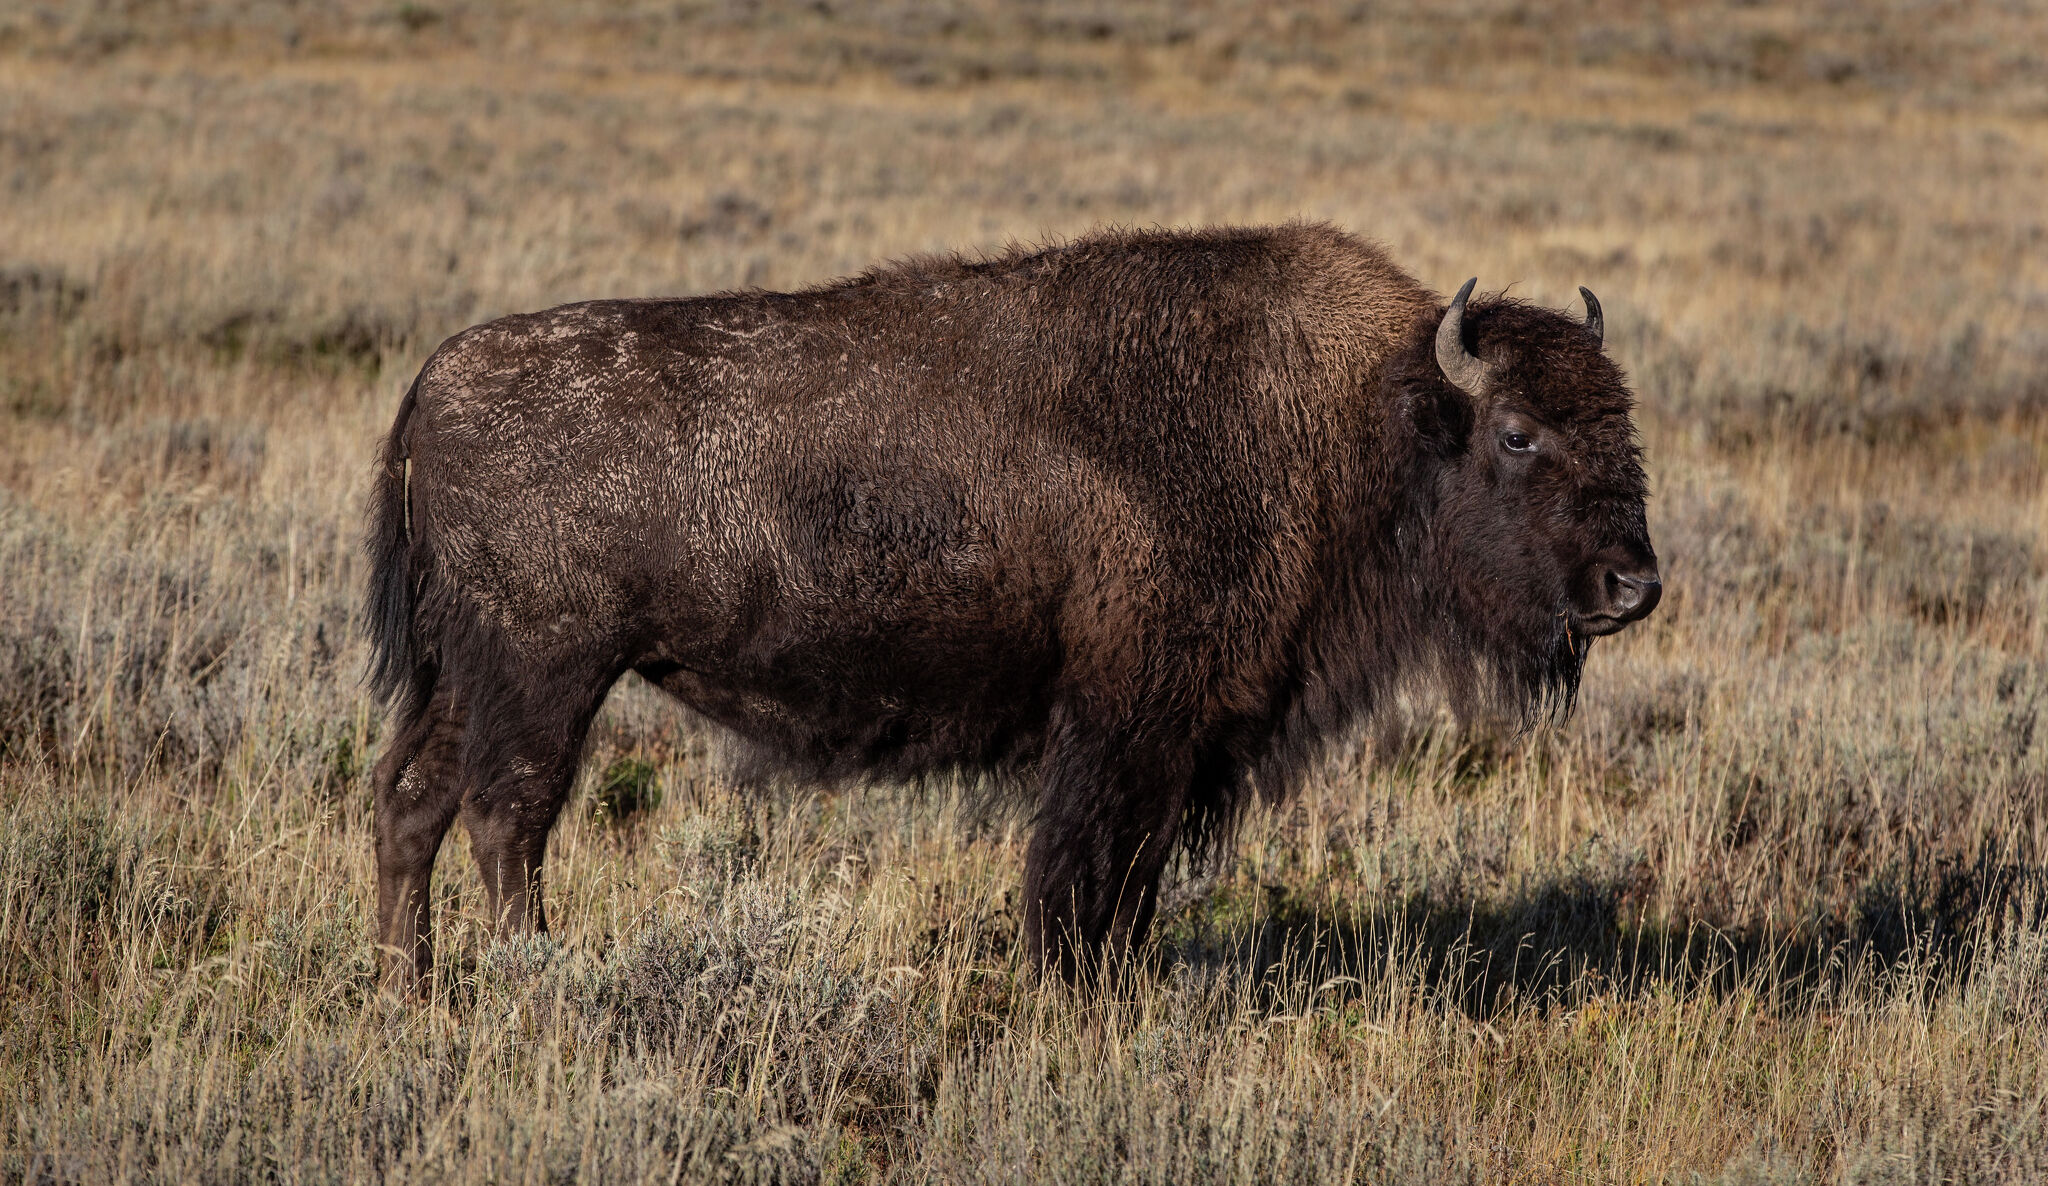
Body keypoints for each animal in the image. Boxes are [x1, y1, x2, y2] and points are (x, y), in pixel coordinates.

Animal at [364, 223, 1646, 991]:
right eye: (1516, 432)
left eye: (1621, 422)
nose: (1631, 584)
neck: (1352, 418)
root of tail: (436, 377)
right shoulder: (1124, 725)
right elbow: (1082, 870)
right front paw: (1067, 993)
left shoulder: (1173, 740)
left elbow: (1131, 881)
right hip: (547, 673)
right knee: (508, 816)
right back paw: (535, 979)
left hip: (469, 674)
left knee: (414, 801)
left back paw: (407, 986)